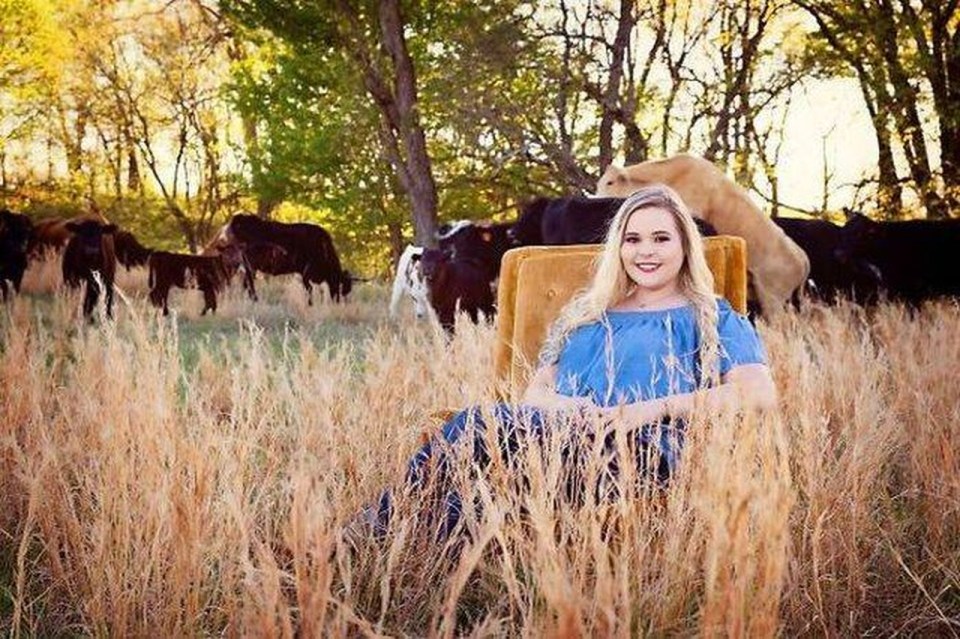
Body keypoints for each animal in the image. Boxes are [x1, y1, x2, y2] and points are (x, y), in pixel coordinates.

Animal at [224, 215, 352, 304]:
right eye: (339, 283)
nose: (337, 300)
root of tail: (241, 218)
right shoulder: (306, 272)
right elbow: (309, 289)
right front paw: (310, 304)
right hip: (250, 265)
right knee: (248, 282)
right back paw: (254, 299)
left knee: (243, 283)